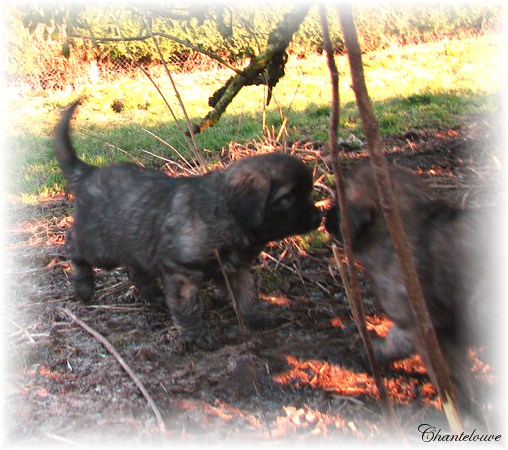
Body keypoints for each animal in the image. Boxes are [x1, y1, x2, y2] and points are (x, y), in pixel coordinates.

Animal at [54, 100, 322, 350]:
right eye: (288, 198)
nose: (318, 218)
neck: (227, 210)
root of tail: (90, 173)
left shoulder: (236, 268)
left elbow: (248, 295)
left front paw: (257, 319)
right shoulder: (182, 271)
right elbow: (189, 308)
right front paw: (196, 337)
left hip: (131, 243)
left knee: (135, 269)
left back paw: (153, 295)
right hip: (100, 247)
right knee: (73, 244)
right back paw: (84, 286)